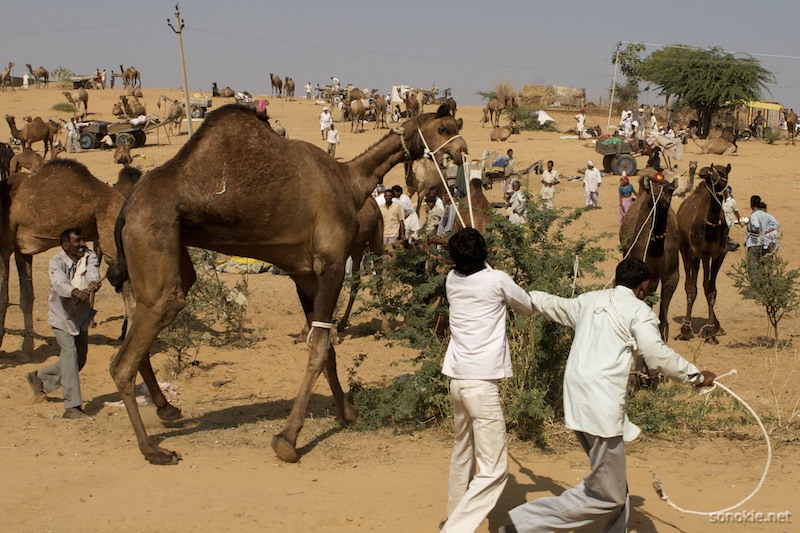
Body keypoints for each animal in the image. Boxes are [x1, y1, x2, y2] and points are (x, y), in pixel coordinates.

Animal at [0, 158, 134, 358]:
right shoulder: (21, 250)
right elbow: (26, 298)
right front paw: (27, 348)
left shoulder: (4, 246)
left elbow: (3, 296)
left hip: (110, 233)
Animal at [106, 103, 468, 462]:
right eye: (445, 127)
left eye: (458, 125)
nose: (462, 151)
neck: (350, 183)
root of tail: (125, 210)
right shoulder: (331, 264)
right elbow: (319, 348)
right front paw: (288, 438)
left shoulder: (305, 274)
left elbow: (326, 347)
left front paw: (348, 413)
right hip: (154, 240)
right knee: (127, 355)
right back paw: (153, 449)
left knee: (139, 325)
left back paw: (166, 408)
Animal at [620, 172, 680, 338]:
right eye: (650, 189)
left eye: (670, 189)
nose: (658, 194)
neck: (656, 250)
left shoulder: (672, 273)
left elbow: (664, 306)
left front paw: (663, 332)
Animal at [676, 164, 732, 342]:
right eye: (712, 168)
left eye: (722, 172)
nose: (704, 171)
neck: (711, 227)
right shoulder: (695, 252)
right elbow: (692, 289)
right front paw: (685, 331)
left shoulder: (719, 253)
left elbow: (711, 291)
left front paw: (711, 333)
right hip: (684, 248)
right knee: (689, 283)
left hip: (706, 257)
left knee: (706, 285)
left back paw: (716, 326)